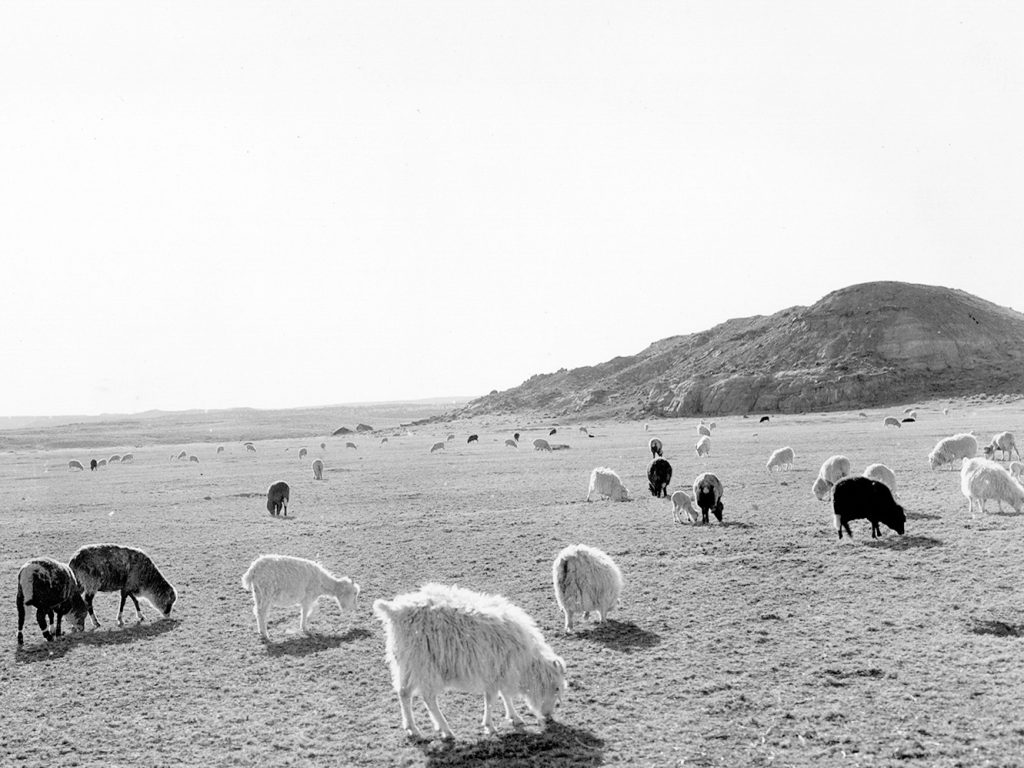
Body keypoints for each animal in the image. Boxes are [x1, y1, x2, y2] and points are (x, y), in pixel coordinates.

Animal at [370, 585, 565, 741]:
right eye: (556, 688)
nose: (548, 716)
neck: (527, 661)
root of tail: (395, 610)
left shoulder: (501, 671)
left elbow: (504, 695)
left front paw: (514, 717)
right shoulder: (496, 670)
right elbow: (491, 699)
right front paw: (490, 726)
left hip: (406, 663)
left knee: (404, 693)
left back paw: (412, 728)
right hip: (424, 664)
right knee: (428, 698)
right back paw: (446, 730)